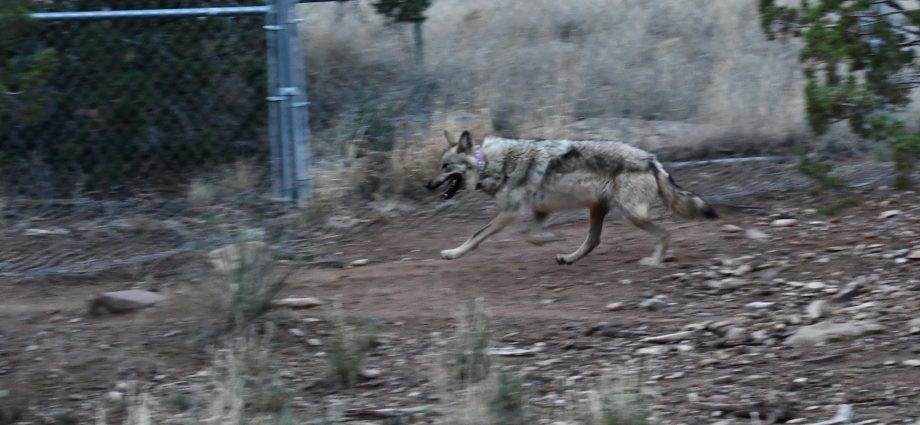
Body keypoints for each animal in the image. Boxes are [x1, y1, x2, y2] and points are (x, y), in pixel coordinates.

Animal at [425, 130, 718, 266]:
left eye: (445, 167)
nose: (427, 185)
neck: (489, 163)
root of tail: (651, 159)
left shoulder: (511, 212)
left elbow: (476, 235)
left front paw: (453, 253)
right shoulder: (539, 212)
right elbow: (530, 235)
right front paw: (551, 239)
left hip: (631, 214)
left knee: (665, 232)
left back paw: (654, 262)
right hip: (599, 210)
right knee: (593, 241)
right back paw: (568, 258)